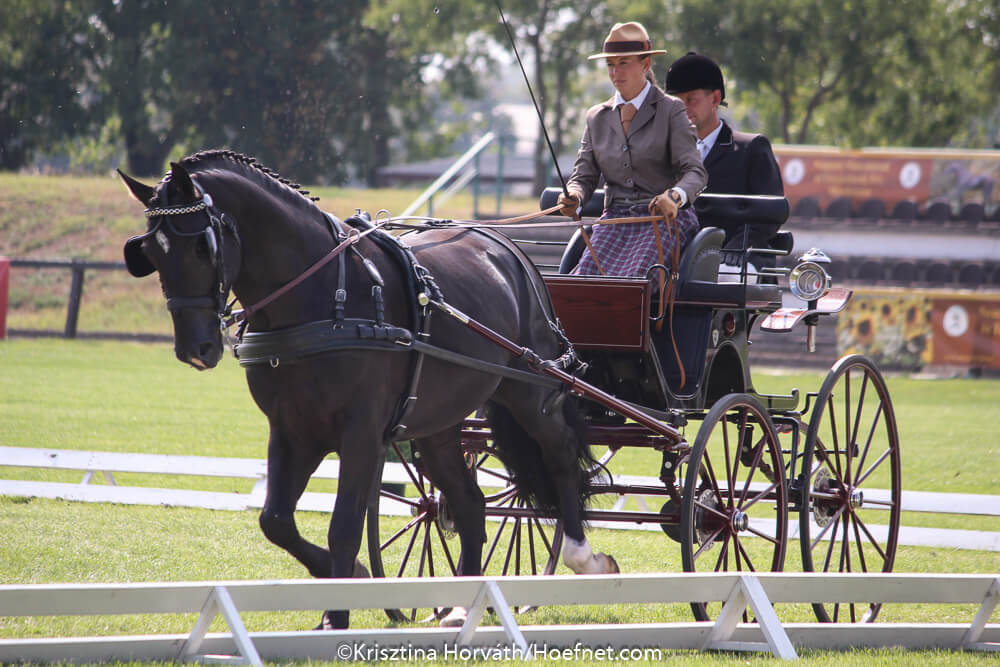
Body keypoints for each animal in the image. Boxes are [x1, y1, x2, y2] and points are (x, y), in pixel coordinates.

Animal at [118, 150, 617, 629]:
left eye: (202, 246)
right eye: (150, 253)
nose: (196, 349)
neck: (322, 296)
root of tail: (509, 250)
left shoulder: (360, 432)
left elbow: (342, 526)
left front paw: (338, 614)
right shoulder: (292, 429)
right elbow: (275, 521)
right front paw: (349, 582)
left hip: (531, 392)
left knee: (559, 455)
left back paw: (583, 557)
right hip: (437, 423)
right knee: (471, 505)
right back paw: (461, 606)